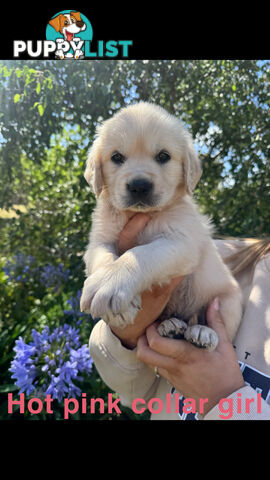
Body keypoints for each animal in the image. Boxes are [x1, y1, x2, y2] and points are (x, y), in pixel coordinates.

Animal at [80, 102, 243, 348]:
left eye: (163, 156)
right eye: (116, 157)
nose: (139, 186)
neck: (140, 214)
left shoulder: (182, 242)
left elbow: (141, 254)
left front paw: (110, 286)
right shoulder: (99, 240)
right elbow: (103, 259)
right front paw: (110, 292)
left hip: (229, 300)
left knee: (216, 326)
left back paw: (202, 332)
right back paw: (172, 326)